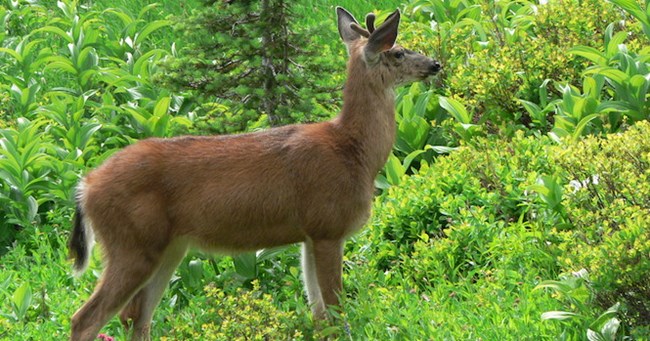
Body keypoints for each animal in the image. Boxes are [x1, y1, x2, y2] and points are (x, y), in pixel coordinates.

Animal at [67, 6, 440, 338]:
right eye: (398, 52)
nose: (435, 64)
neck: (353, 152)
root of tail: (85, 187)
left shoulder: (310, 234)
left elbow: (319, 314)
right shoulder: (328, 225)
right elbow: (335, 313)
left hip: (168, 247)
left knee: (138, 317)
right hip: (131, 243)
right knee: (86, 319)